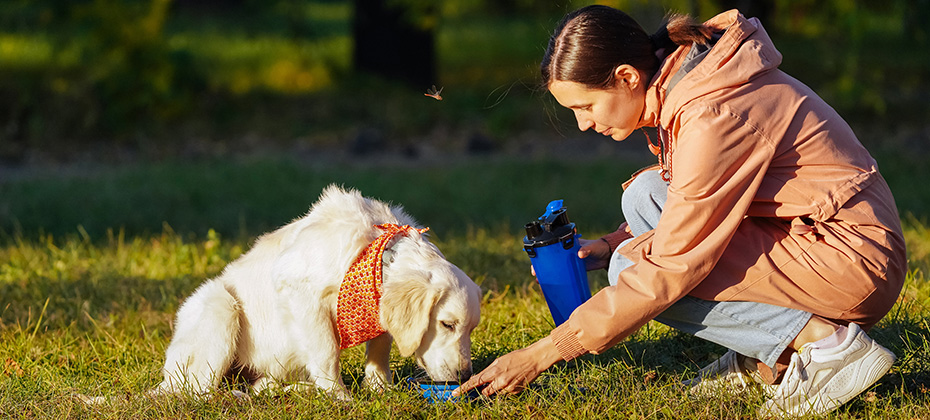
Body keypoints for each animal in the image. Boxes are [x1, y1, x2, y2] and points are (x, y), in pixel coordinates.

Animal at [142, 185, 482, 398]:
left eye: (471, 329)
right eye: (447, 324)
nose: (464, 375)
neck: (376, 247)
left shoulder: (376, 303)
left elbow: (380, 346)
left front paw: (379, 387)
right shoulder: (301, 293)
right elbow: (326, 350)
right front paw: (340, 397)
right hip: (220, 305)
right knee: (198, 390)